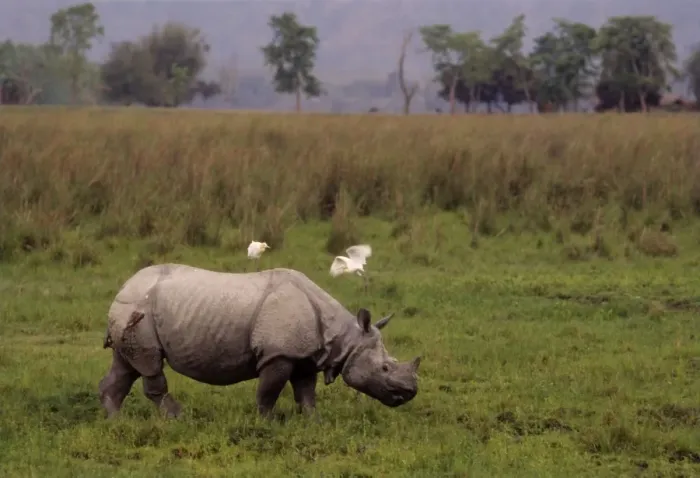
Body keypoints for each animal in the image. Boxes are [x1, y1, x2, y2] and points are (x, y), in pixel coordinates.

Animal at [98, 263, 421, 418]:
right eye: (385, 369)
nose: (409, 394)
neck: (343, 336)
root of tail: (123, 286)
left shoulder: (305, 355)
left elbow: (306, 392)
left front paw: (313, 421)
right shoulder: (278, 354)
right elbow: (269, 391)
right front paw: (265, 422)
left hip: (133, 312)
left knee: (127, 365)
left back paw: (116, 420)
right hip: (138, 309)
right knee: (149, 364)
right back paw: (177, 418)